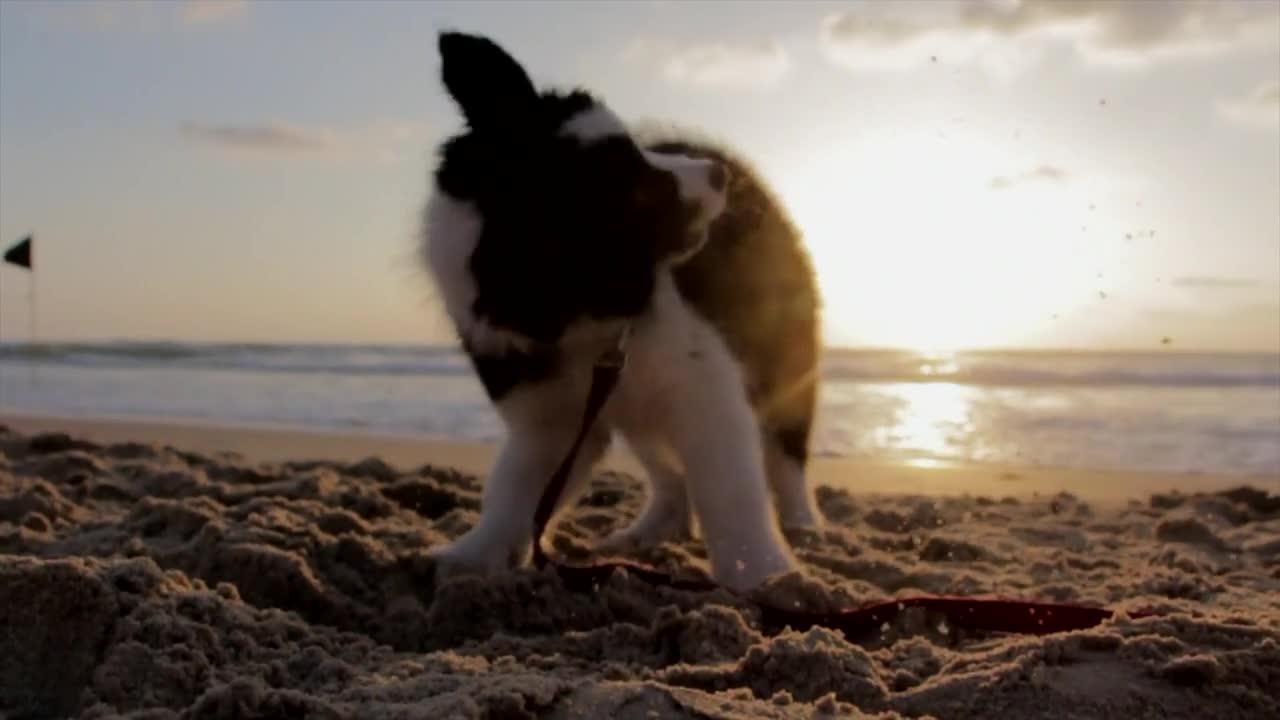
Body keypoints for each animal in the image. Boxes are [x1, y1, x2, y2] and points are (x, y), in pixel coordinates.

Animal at [419, 30, 819, 589]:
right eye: (641, 190)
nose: (716, 175)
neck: (586, 319)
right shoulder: (551, 419)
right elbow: (513, 490)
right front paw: (471, 556)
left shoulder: (706, 392)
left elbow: (731, 490)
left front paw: (764, 576)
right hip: (641, 411)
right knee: (670, 473)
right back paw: (651, 531)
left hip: (782, 356)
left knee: (786, 453)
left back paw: (803, 524)